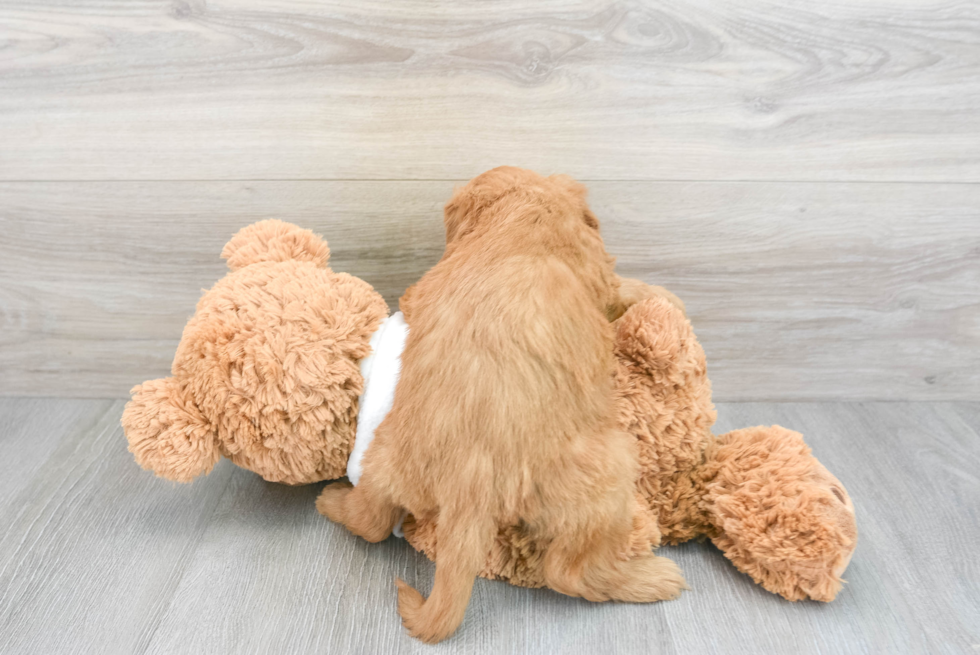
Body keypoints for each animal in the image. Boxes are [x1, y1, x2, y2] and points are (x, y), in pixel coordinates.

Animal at [318, 167, 684, 644]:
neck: (522, 218)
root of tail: (469, 482)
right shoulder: (600, 277)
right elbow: (624, 287)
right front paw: (665, 296)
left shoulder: (420, 291)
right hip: (612, 470)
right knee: (569, 574)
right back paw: (652, 578)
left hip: (382, 464)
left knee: (371, 522)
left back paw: (331, 500)